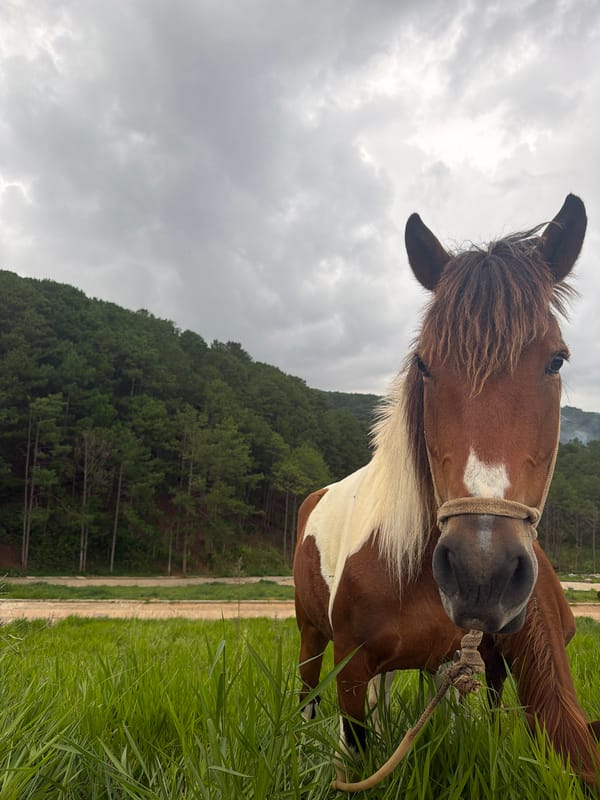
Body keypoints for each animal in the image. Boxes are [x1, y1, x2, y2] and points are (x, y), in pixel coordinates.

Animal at [293, 194, 600, 787]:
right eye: (424, 364)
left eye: (556, 360)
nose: (483, 571)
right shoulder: (349, 667)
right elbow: (354, 753)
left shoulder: (459, 668)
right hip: (310, 637)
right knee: (306, 697)